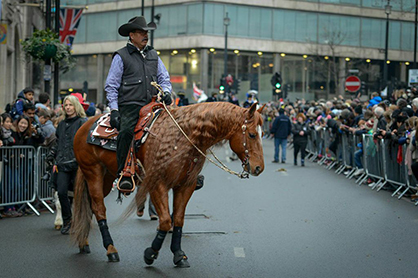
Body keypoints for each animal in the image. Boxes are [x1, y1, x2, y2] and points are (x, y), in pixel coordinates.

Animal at [70, 101, 262, 268]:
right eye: (252, 134)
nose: (259, 167)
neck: (182, 138)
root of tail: (85, 125)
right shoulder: (157, 184)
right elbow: (164, 221)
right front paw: (151, 253)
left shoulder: (185, 186)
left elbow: (177, 220)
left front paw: (179, 254)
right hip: (92, 172)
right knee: (99, 208)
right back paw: (110, 250)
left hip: (107, 176)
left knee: (90, 205)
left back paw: (83, 242)